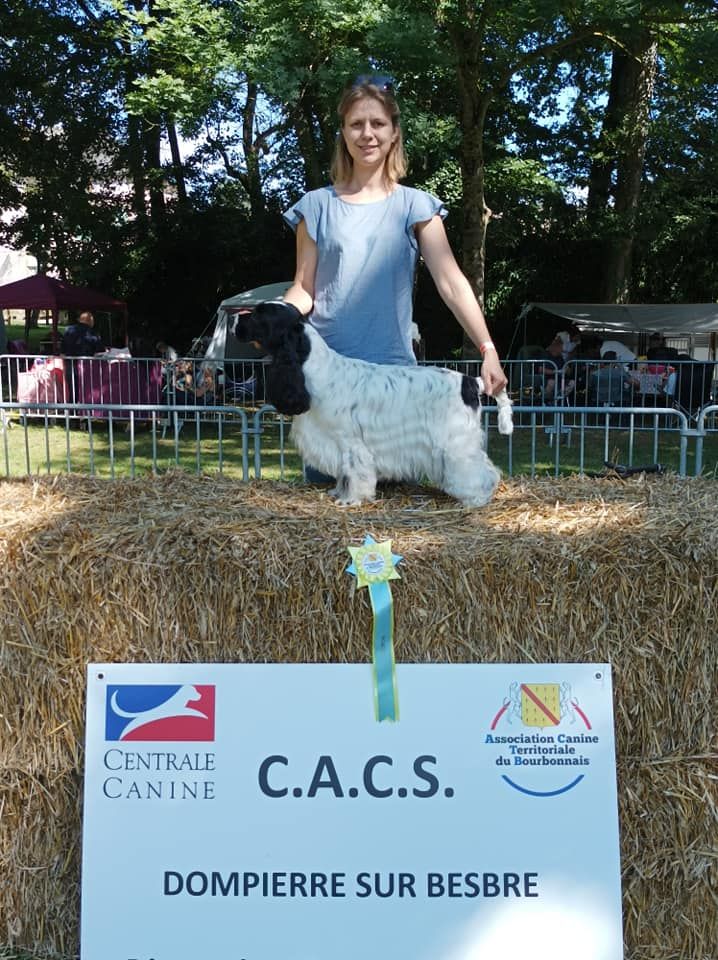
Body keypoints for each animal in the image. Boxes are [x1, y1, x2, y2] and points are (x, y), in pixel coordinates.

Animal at [235, 301, 513, 507]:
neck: (312, 366)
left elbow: (355, 471)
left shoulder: (350, 442)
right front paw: (339, 493)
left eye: (259, 314)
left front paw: (351, 499)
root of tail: (471, 381)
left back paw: (477, 498)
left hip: (456, 442)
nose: (236, 319)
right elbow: (343, 473)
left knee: (481, 470)